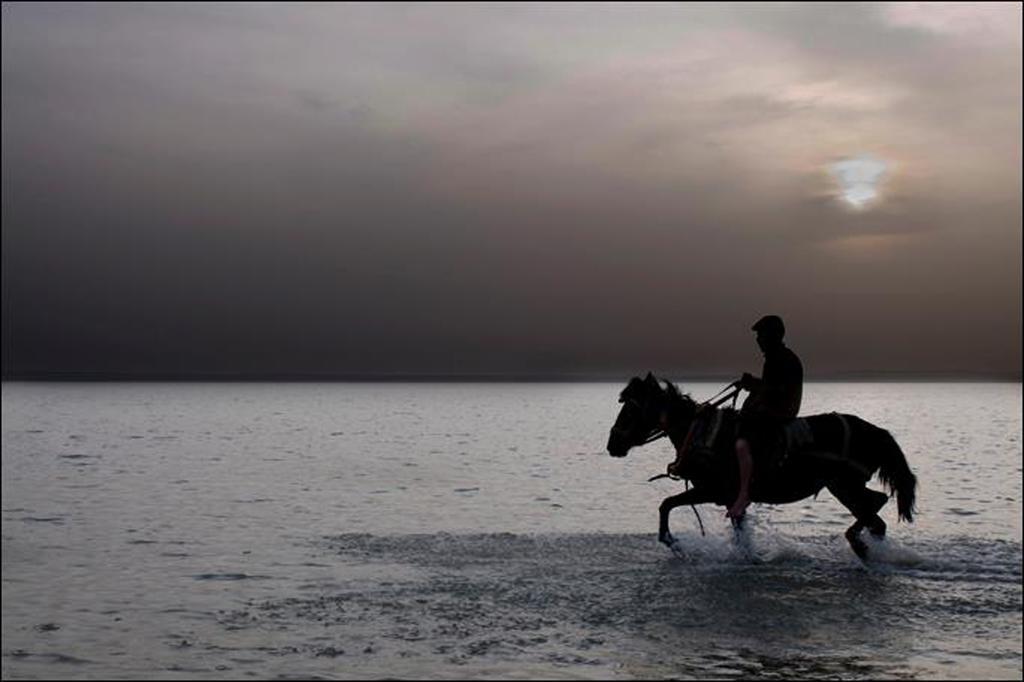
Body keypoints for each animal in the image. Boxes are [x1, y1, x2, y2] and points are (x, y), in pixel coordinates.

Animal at [602, 372, 917, 557]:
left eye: (629, 410)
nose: (612, 444)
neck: (702, 434)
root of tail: (876, 431)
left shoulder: (712, 491)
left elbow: (666, 504)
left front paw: (671, 541)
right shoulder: (729, 499)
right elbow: (736, 529)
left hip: (845, 484)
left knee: (876, 504)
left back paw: (856, 541)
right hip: (844, 487)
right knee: (876, 519)